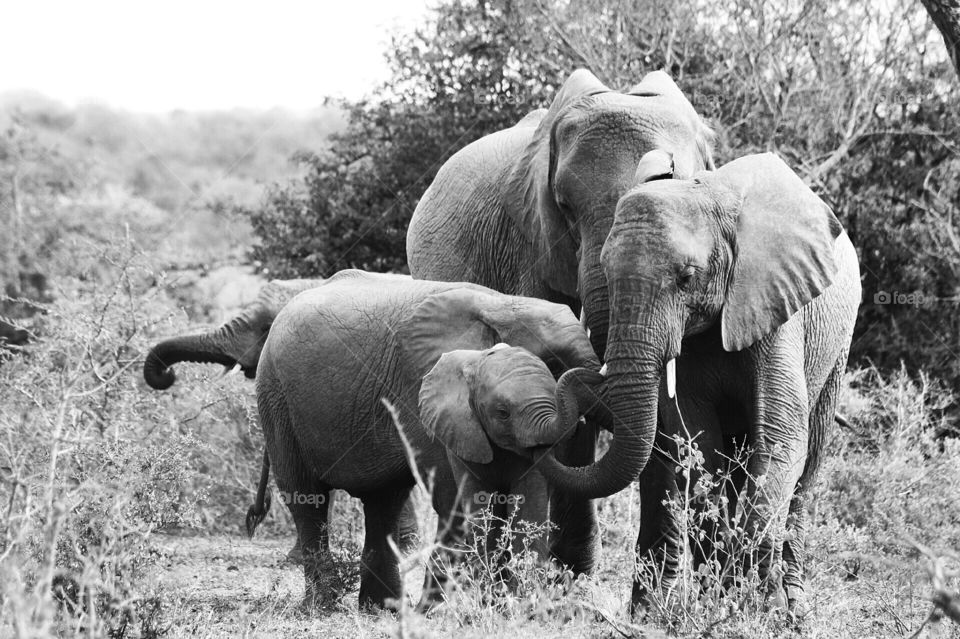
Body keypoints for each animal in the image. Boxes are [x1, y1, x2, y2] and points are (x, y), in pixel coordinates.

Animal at [253, 270, 603, 610]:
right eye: (556, 362)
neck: (503, 305)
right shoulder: (418, 387)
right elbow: (452, 499)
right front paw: (442, 609)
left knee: (384, 503)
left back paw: (382, 608)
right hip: (275, 397)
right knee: (307, 498)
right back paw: (324, 605)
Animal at [534, 151, 861, 615]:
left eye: (686, 278)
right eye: (606, 274)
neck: (710, 193)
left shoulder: (775, 304)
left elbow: (779, 438)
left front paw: (756, 604)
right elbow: (698, 444)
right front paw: (722, 600)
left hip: (838, 342)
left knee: (809, 460)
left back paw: (794, 606)